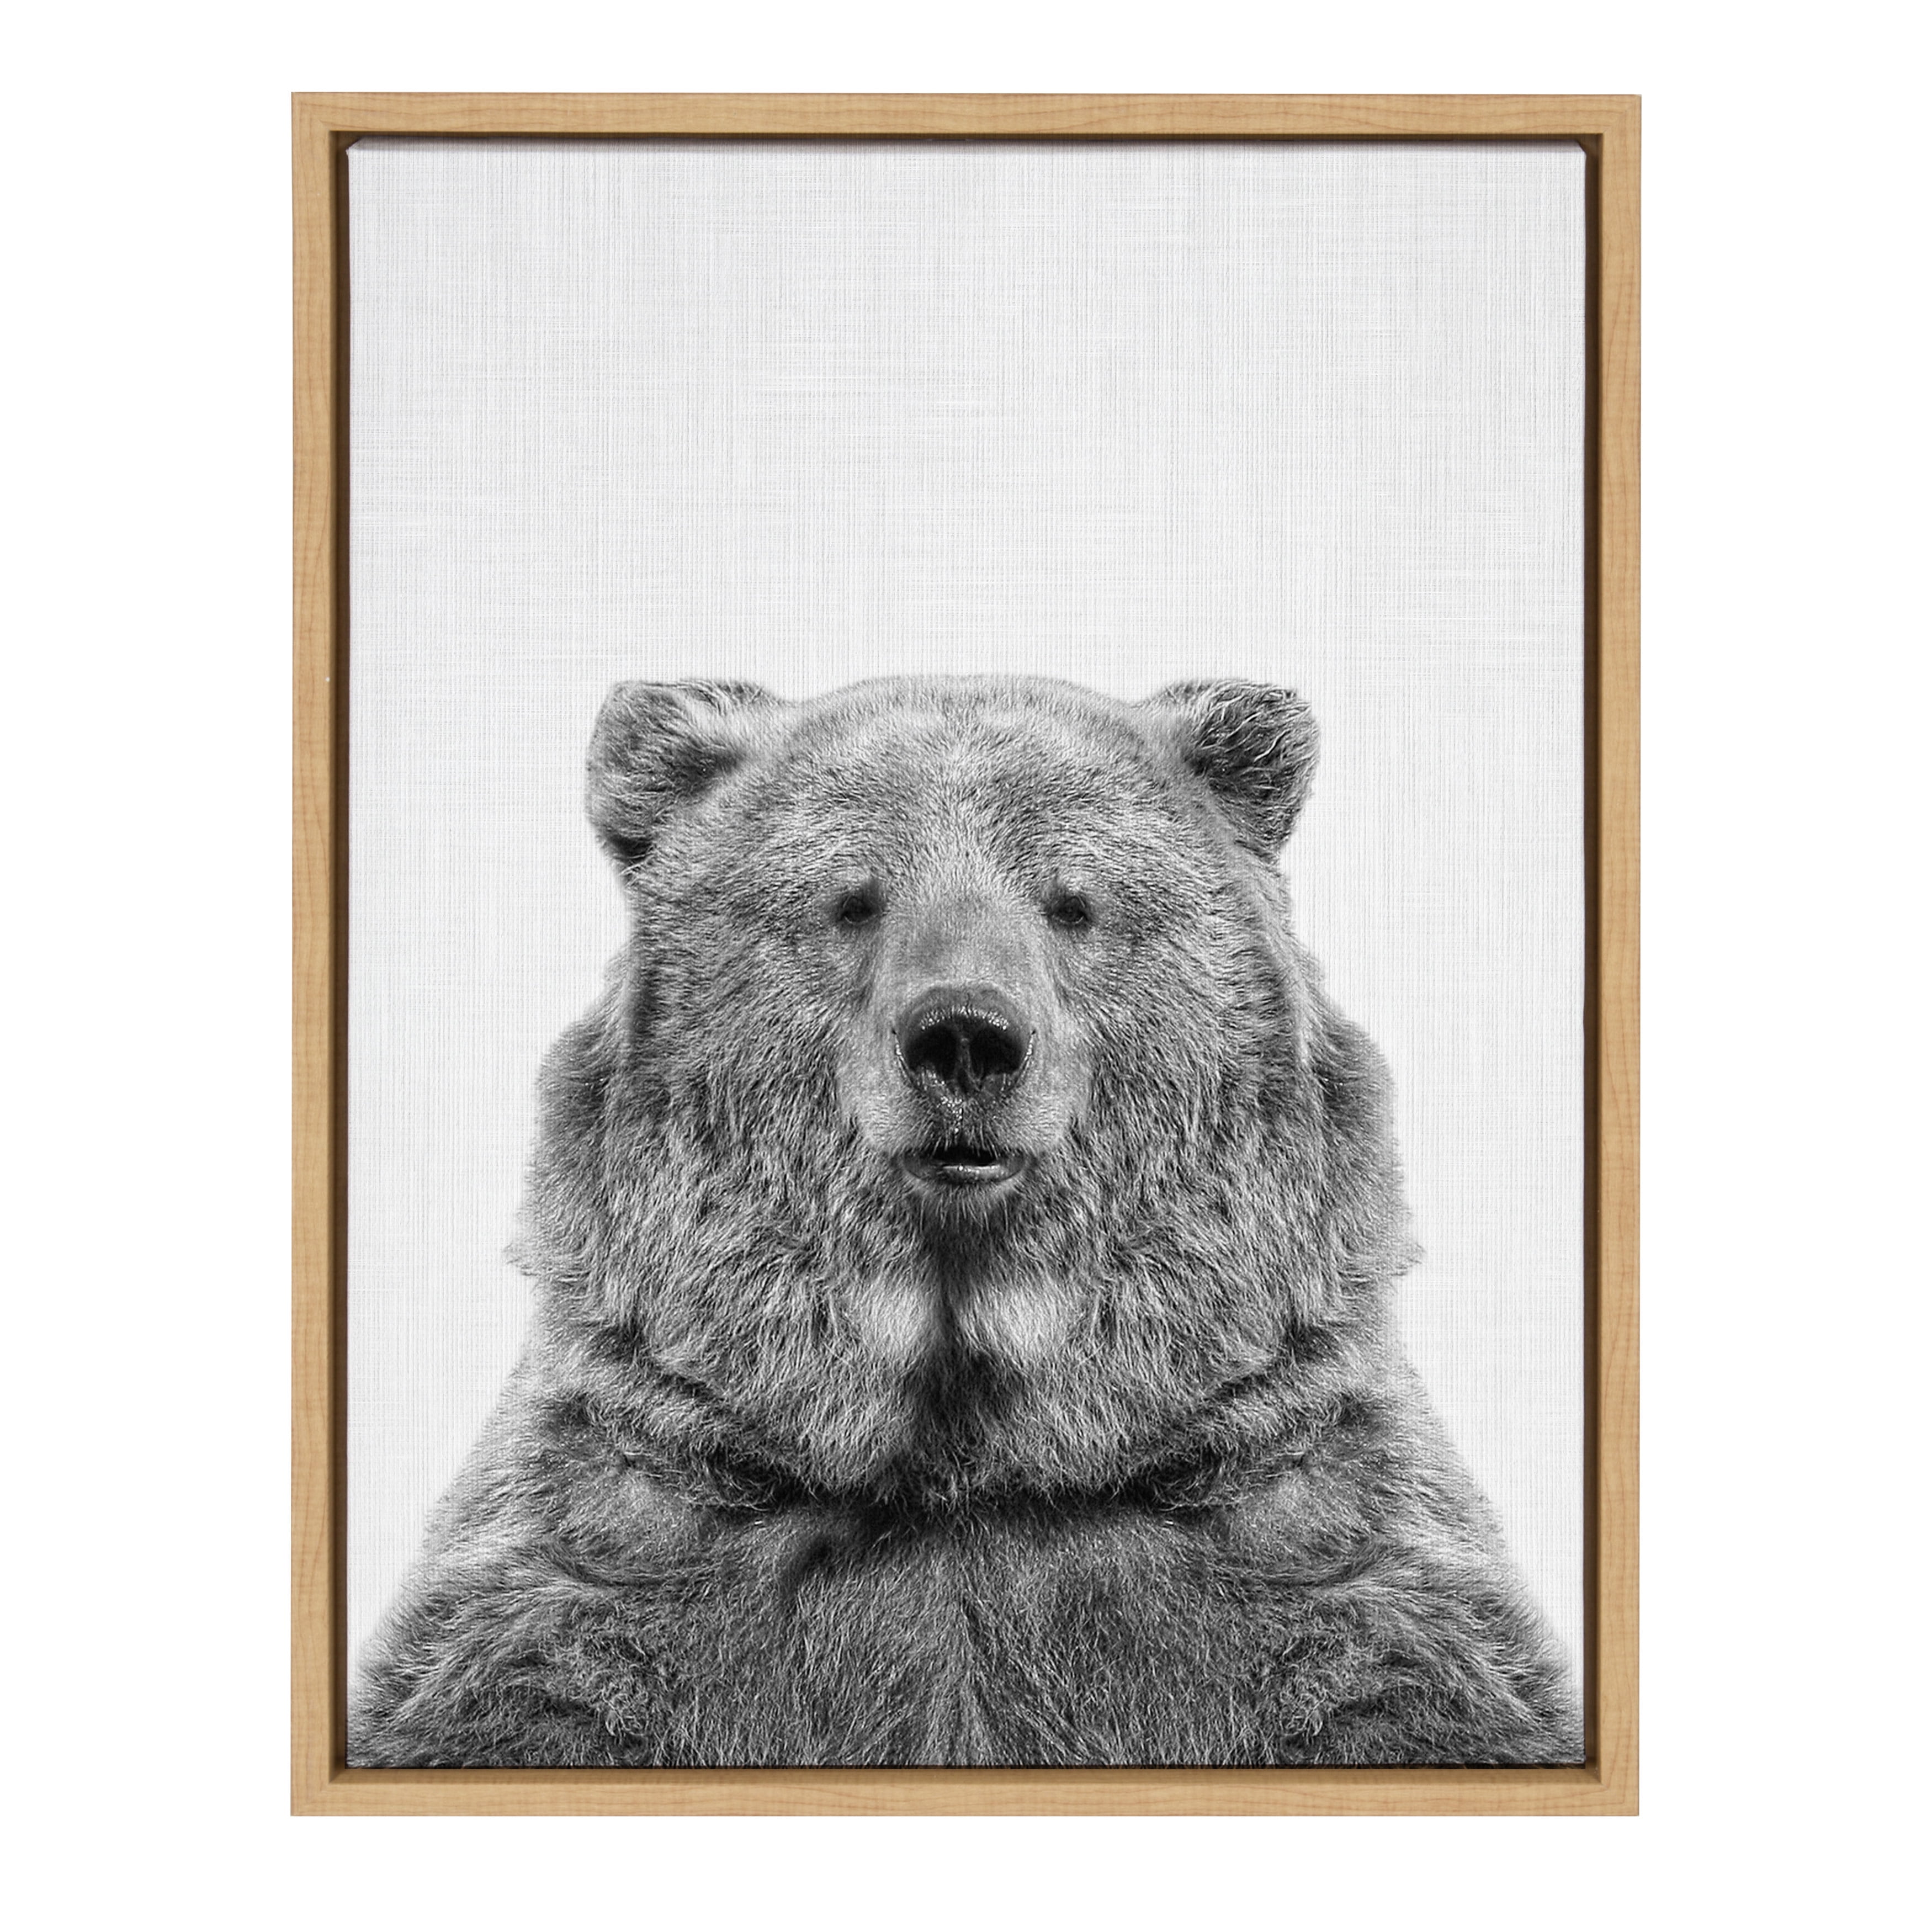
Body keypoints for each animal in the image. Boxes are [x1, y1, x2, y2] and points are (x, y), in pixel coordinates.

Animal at [350, 673, 1582, 1768]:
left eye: (1071, 902)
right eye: (852, 899)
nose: (965, 1039)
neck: (967, 1459)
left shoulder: (1302, 1533)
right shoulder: (620, 1539)